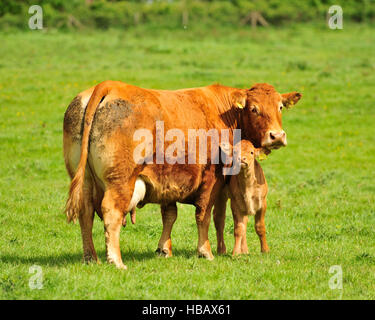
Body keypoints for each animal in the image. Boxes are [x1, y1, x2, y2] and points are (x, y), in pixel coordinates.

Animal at [63, 80, 302, 270]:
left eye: (280, 106)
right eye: (253, 109)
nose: (277, 136)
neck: (225, 114)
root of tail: (108, 85)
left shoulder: (167, 181)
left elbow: (170, 216)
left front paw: (164, 249)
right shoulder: (211, 180)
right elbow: (204, 215)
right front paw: (205, 251)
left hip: (84, 182)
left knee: (85, 214)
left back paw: (91, 258)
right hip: (120, 182)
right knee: (111, 213)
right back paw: (116, 261)